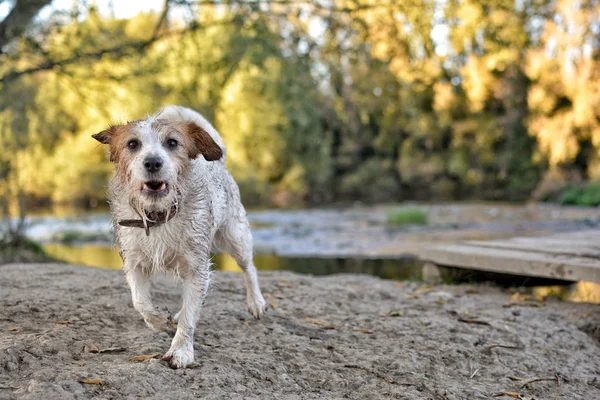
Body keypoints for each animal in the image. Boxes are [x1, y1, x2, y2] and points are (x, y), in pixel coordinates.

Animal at [91, 105, 264, 368]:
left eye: (172, 142)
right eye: (133, 144)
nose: (153, 162)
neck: (158, 215)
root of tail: (219, 164)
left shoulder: (196, 267)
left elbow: (190, 319)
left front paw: (181, 350)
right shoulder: (133, 261)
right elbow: (140, 301)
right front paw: (158, 320)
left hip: (236, 237)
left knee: (249, 267)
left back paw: (256, 302)